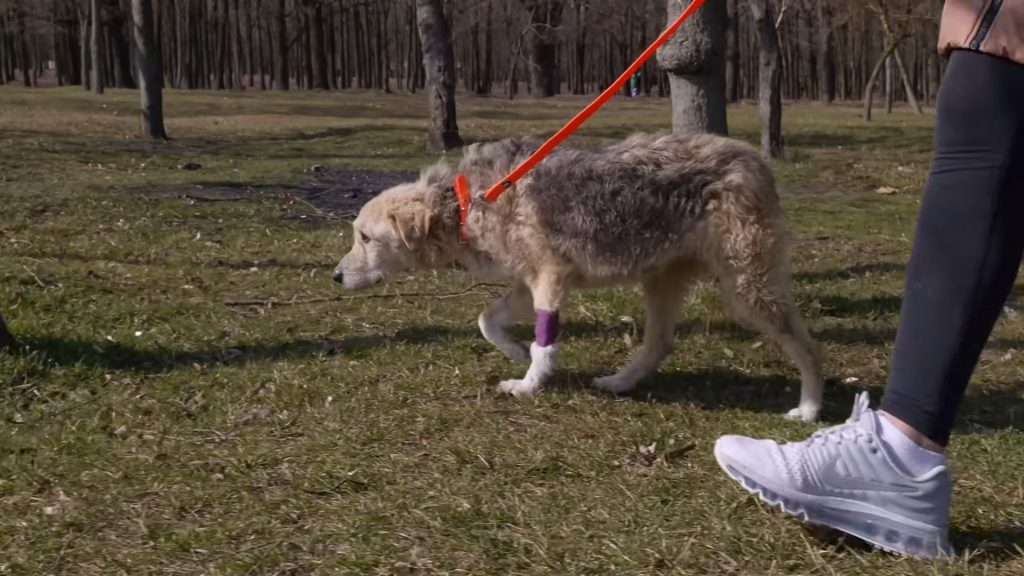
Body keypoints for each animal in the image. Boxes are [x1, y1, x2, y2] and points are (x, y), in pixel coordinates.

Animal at [331, 134, 827, 422]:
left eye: (364, 237)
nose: (334, 276)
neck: (466, 201)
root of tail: (754, 159)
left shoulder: (550, 281)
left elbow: (545, 344)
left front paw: (529, 384)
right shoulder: (526, 283)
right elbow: (487, 321)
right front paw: (515, 353)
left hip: (747, 288)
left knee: (808, 348)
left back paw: (808, 408)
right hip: (660, 281)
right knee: (659, 343)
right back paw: (619, 383)